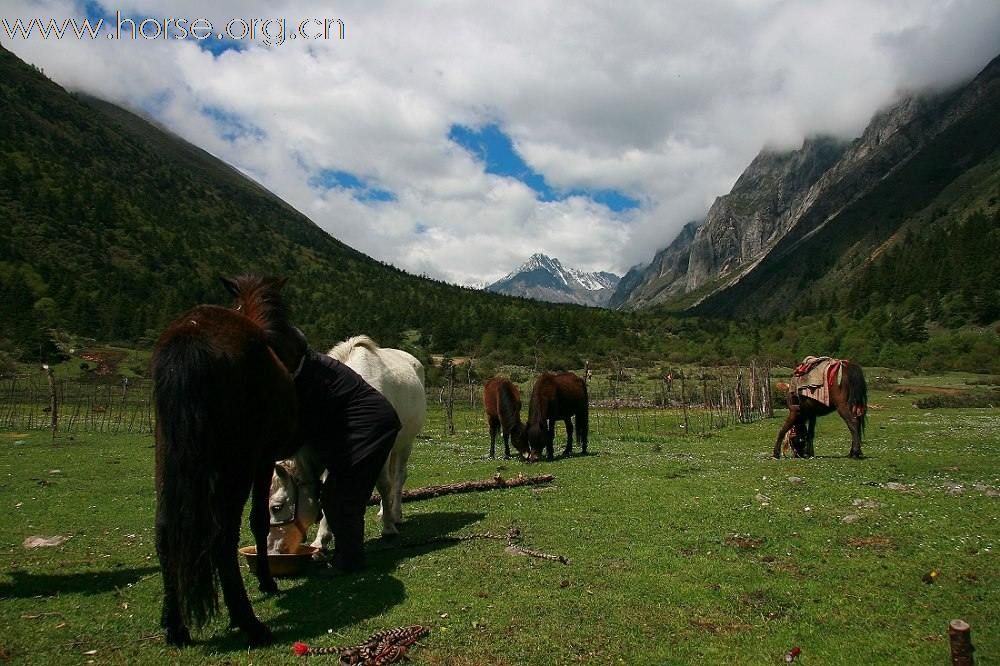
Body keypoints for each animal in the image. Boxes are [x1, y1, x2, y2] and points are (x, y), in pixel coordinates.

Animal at [152, 274, 304, 644]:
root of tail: (190, 336)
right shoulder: (263, 458)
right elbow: (259, 520)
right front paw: (266, 580)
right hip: (237, 461)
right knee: (222, 536)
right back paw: (249, 622)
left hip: (168, 451)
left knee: (165, 530)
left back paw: (174, 624)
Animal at [268, 334, 424, 552]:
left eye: (277, 507)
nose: (271, 549)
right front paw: (321, 540)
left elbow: (384, 485)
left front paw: (388, 528)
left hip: (404, 445)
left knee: (398, 477)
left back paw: (395, 515)